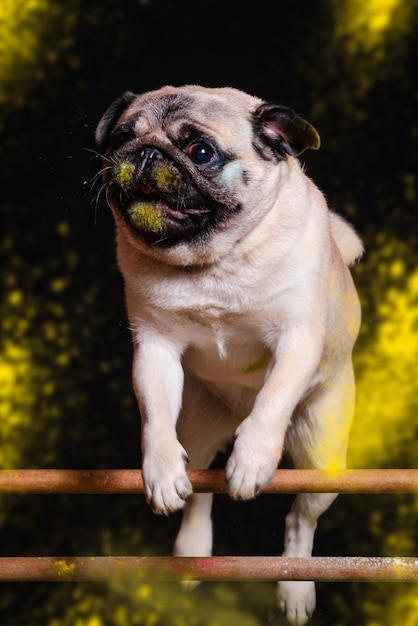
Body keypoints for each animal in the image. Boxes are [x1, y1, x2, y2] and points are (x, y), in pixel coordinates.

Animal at [95, 84, 362, 624]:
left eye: (200, 152)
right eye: (120, 140)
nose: (145, 152)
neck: (212, 262)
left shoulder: (296, 341)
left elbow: (273, 400)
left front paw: (252, 457)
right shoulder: (154, 348)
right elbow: (154, 415)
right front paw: (158, 469)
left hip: (323, 456)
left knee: (300, 520)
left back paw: (295, 586)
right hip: (198, 429)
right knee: (199, 492)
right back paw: (193, 553)